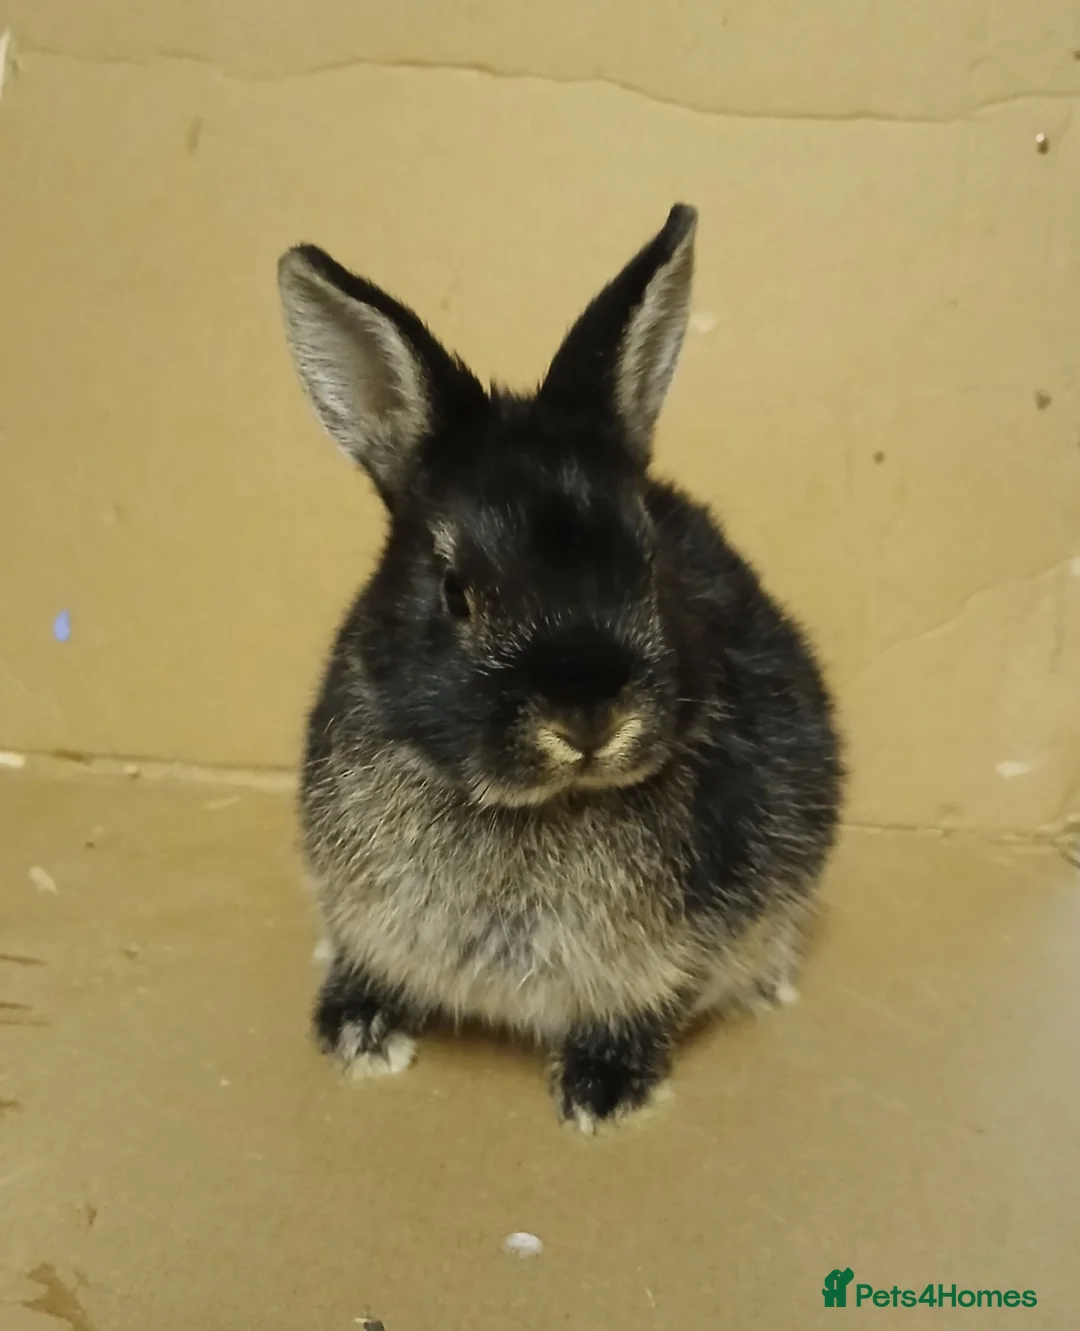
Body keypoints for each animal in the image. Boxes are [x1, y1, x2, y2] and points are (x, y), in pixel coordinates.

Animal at [276, 204, 844, 1132]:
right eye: (454, 590)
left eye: (648, 565)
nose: (586, 717)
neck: (534, 806)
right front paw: (357, 1033)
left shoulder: (666, 956)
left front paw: (603, 1093)